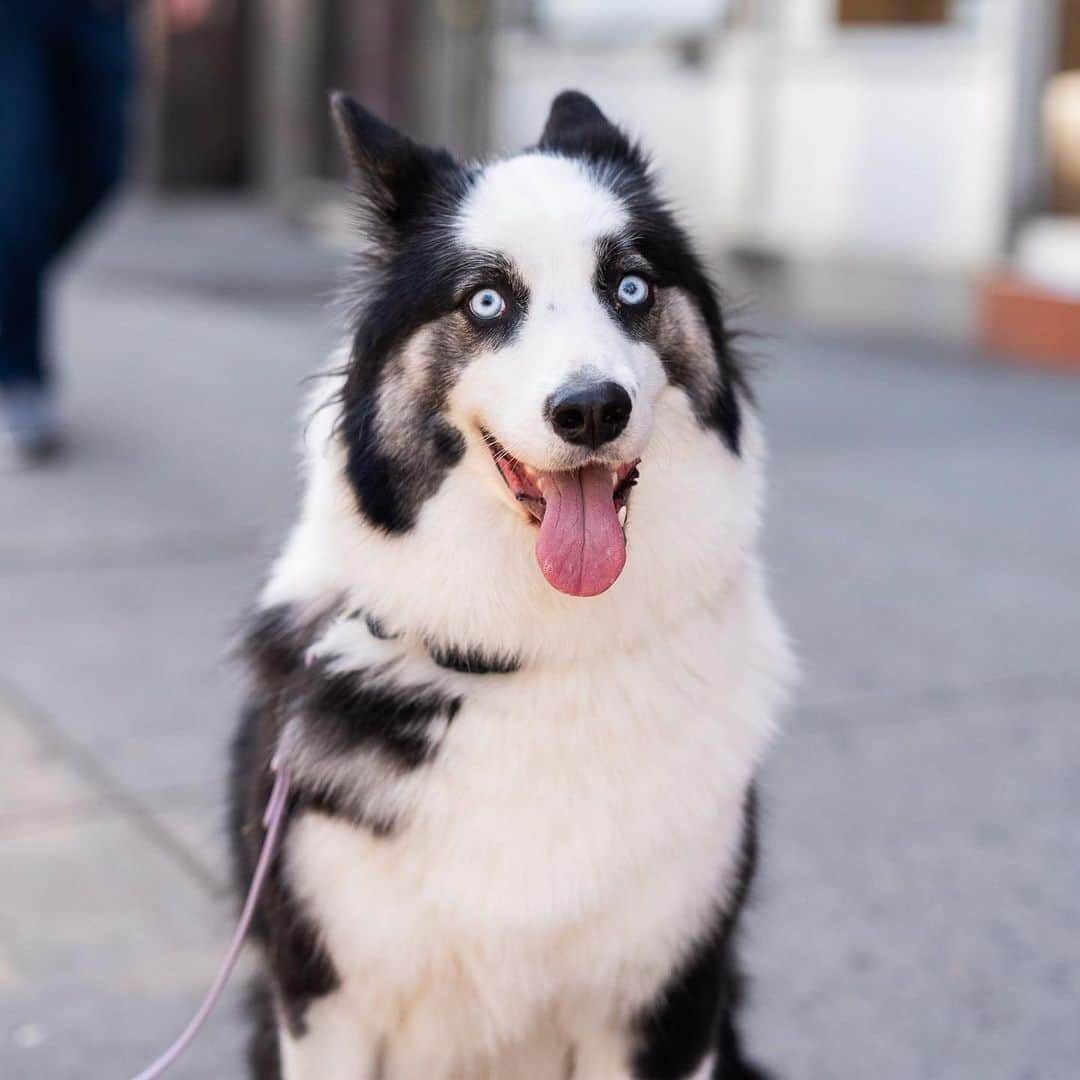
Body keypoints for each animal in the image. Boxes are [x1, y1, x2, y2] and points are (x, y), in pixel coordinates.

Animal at [232, 88, 790, 1075]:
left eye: (631, 288)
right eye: (487, 301)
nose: (591, 409)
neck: (536, 653)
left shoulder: (676, 999)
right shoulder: (321, 1001)